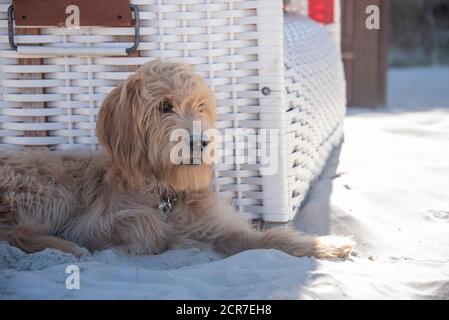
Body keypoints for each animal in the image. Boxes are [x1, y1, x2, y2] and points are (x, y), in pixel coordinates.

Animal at [0, 60, 352, 258]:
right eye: (164, 106)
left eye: (200, 106)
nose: (201, 141)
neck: (165, 193)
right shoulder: (89, 224)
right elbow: (143, 227)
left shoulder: (216, 227)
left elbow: (268, 237)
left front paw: (328, 246)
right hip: (52, 189)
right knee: (13, 233)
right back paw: (67, 249)